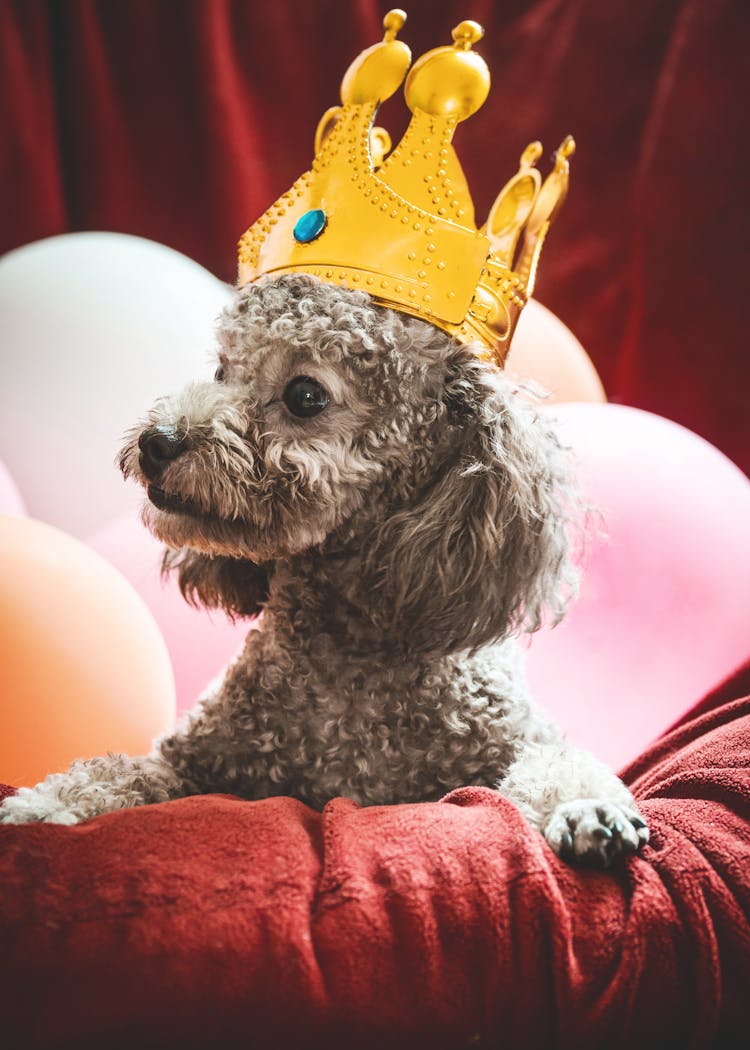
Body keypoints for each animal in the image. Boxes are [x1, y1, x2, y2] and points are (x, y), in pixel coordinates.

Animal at [0, 275, 647, 865]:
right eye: (222, 370)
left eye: (305, 395)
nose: (158, 441)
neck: (350, 646)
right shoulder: (190, 761)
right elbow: (116, 771)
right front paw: (41, 804)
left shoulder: (514, 739)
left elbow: (559, 762)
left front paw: (588, 808)